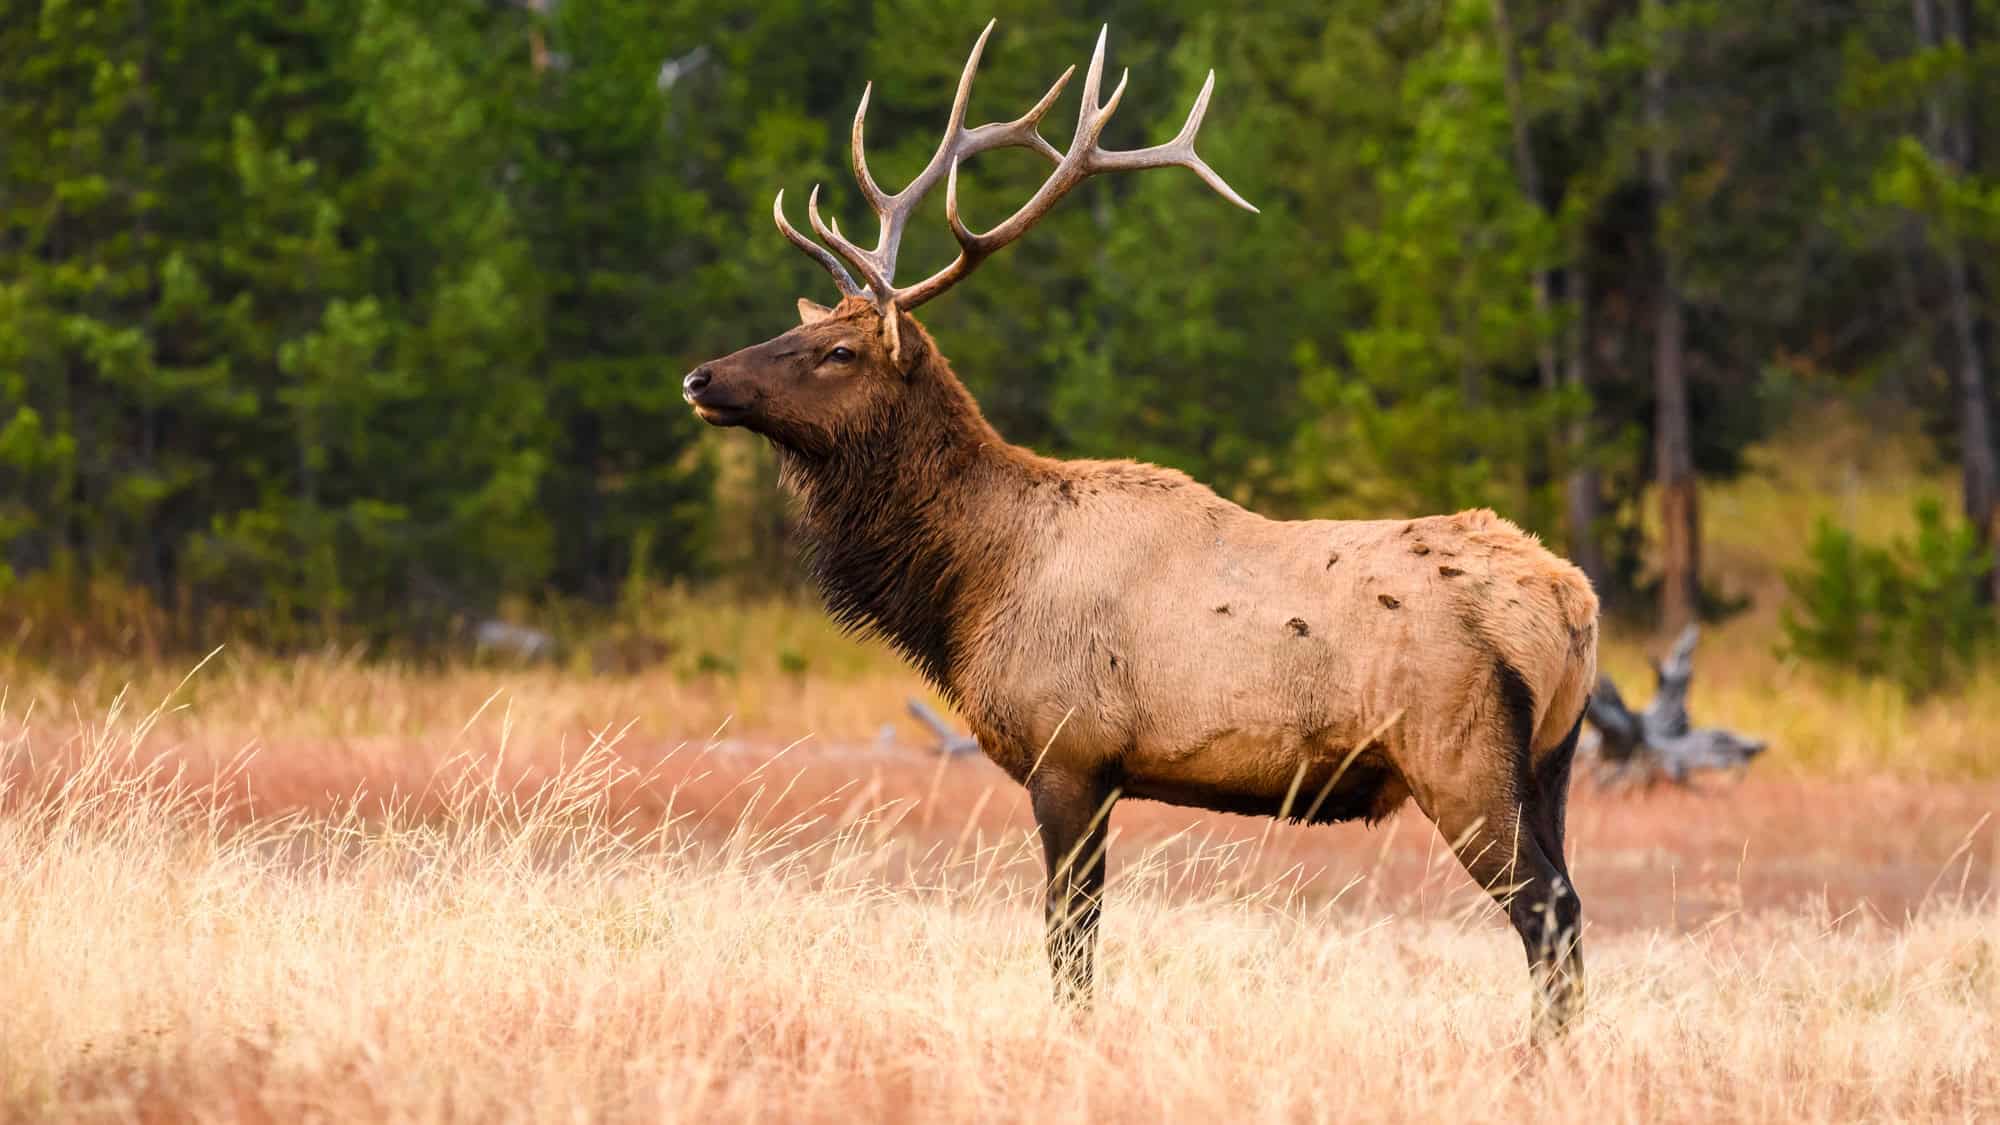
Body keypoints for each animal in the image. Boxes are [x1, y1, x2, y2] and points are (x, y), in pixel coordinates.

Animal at [681, 22, 1599, 1039]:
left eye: (838, 350)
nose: (701, 376)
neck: (969, 587)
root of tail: (1575, 604)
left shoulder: (1069, 752)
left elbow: (1070, 940)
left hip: (1460, 756)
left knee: (1549, 912)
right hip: (1552, 763)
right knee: (1567, 910)